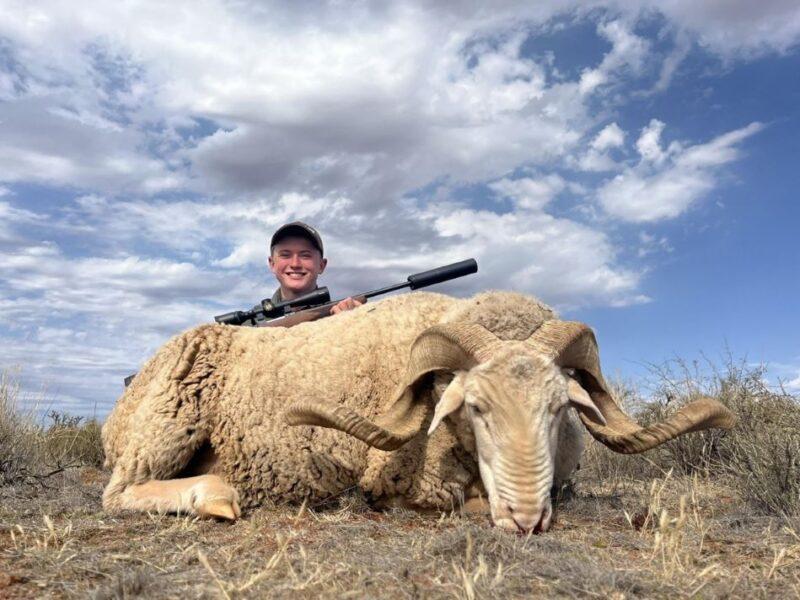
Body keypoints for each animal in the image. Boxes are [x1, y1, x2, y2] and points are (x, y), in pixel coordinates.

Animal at [102, 290, 735, 532]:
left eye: (561, 409)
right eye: (474, 407)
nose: (525, 518)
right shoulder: (405, 486)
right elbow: (458, 500)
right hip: (165, 427)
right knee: (120, 493)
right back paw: (216, 497)